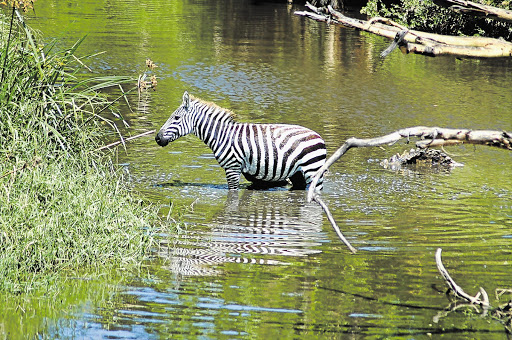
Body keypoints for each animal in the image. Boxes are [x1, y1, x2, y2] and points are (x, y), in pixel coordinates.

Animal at [154, 91, 326, 191]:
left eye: (176, 118)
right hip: (298, 174)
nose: (157, 138)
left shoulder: (232, 168)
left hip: (313, 171)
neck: (221, 135)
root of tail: (319, 136)